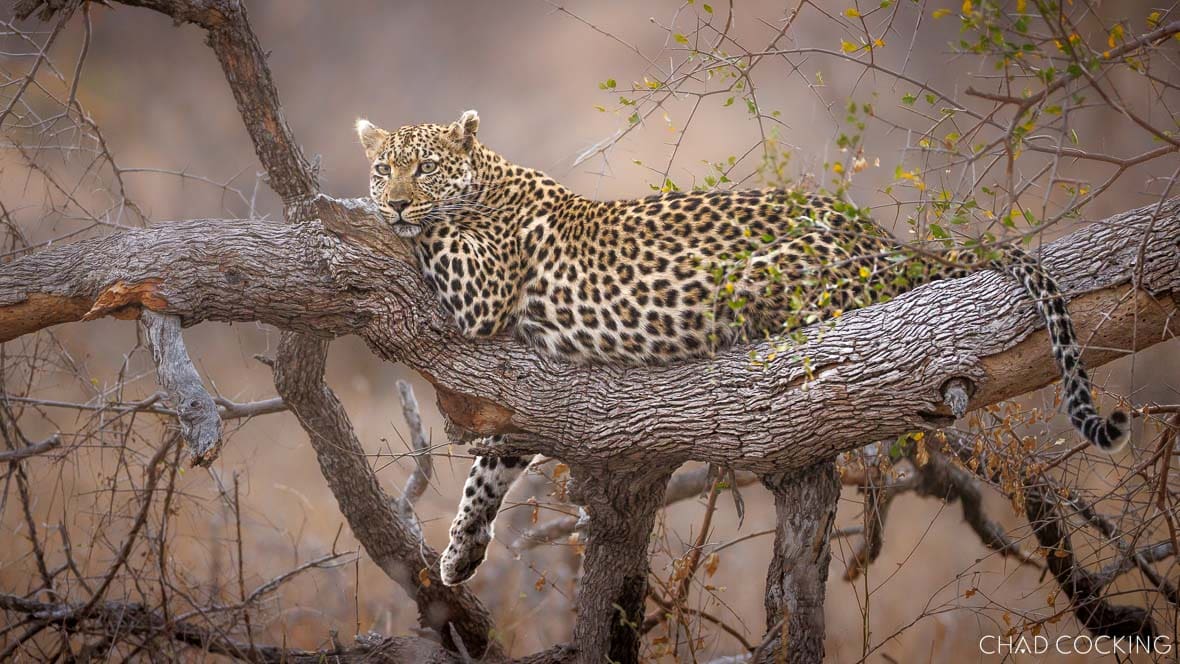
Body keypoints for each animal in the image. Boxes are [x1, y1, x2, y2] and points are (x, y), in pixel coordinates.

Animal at [355, 110, 1129, 586]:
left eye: (423, 169)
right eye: (385, 167)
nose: (394, 199)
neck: (489, 177)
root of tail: (880, 239)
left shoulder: (481, 292)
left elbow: (435, 236)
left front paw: (380, 217)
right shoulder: (516, 399)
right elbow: (488, 471)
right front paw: (460, 553)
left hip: (768, 275)